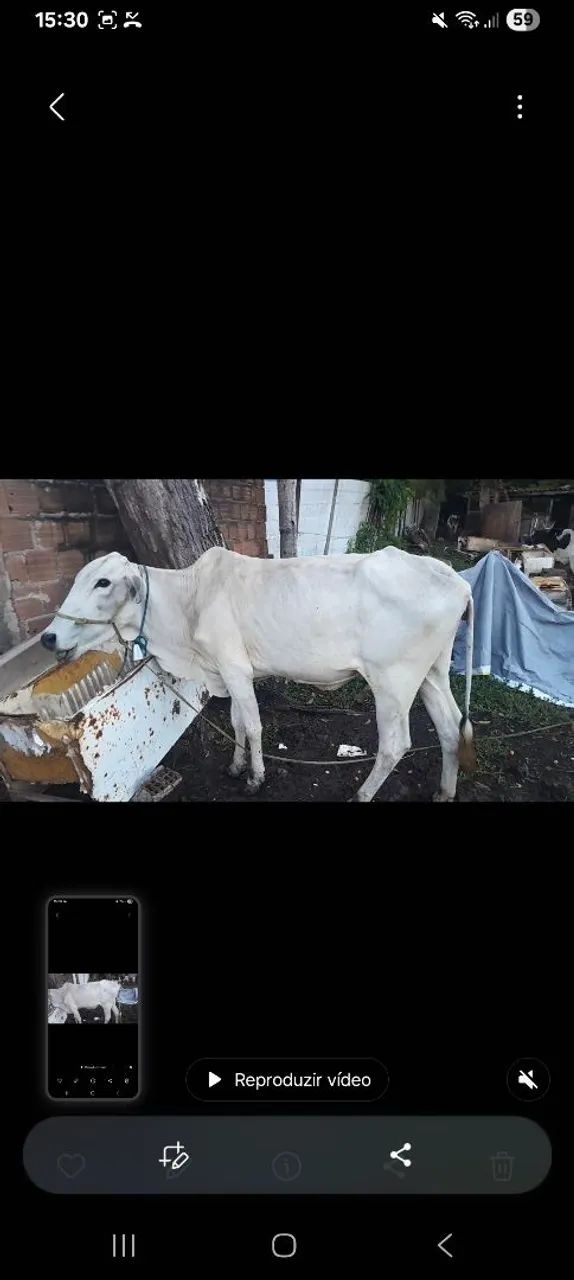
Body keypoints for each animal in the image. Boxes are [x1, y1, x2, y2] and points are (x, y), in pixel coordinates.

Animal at [40, 546, 476, 802]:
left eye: (103, 582)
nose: (49, 637)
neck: (187, 604)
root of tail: (455, 579)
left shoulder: (234, 668)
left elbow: (252, 724)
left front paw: (255, 778)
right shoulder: (229, 672)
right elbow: (236, 721)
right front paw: (236, 767)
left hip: (392, 682)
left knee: (395, 745)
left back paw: (363, 795)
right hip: (432, 674)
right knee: (451, 727)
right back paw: (445, 791)